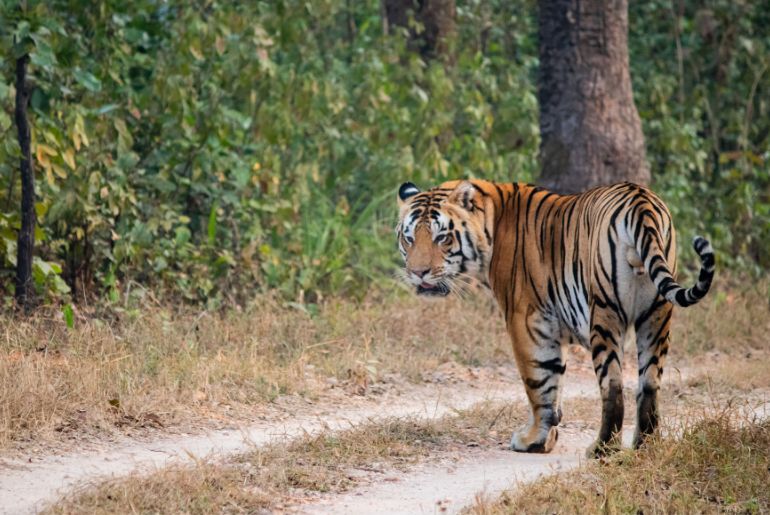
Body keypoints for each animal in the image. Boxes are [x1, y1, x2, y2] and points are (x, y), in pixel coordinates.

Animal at [396, 179, 715, 456]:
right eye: (409, 238)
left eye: (442, 237)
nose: (418, 273)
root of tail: (641, 201)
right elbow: (555, 384)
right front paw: (549, 436)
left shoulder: (526, 320)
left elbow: (540, 383)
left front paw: (533, 440)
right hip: (657, 315)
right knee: (649, 383)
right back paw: (645, 446)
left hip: (604, 313)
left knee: (612, 385)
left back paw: (602, 448)